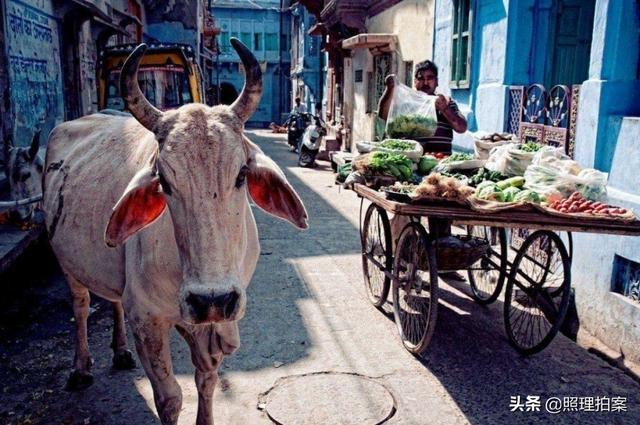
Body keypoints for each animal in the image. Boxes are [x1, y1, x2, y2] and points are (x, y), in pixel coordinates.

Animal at [42, 38, 308, 422]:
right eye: (165, 182)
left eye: (242, 174)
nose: (213, 299)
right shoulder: (147, 320)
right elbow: (170, 398)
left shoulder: (213, 323)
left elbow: (206, 380)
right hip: (67, 263)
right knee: (80, 306)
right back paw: (80, 368)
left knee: (113, 301)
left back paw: (119, 352)